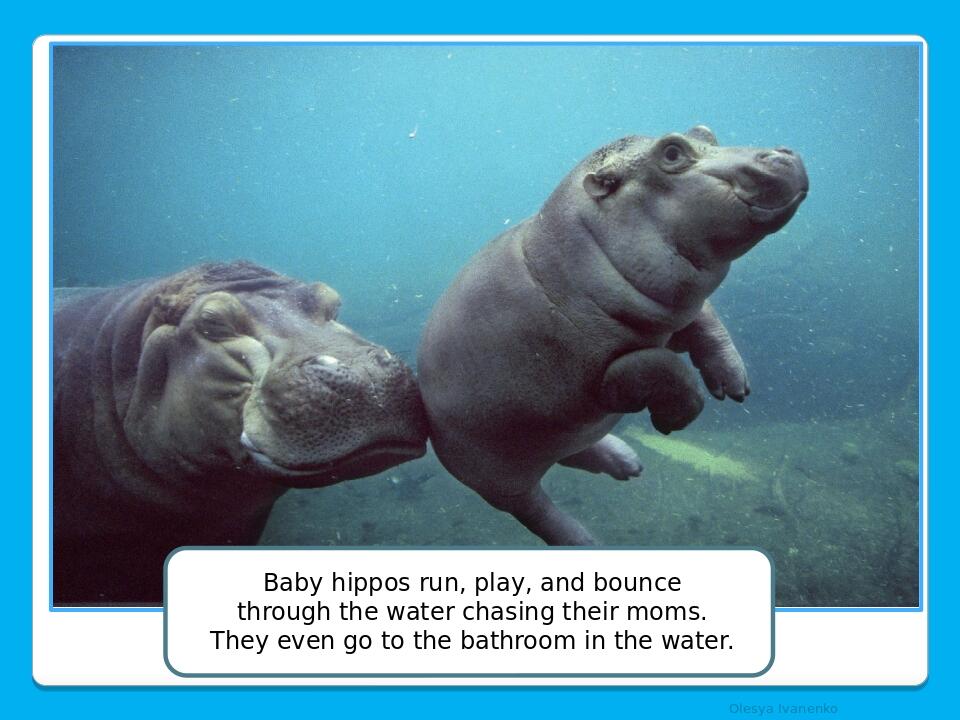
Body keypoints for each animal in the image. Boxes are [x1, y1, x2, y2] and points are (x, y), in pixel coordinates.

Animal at [418, 126, 808, 546]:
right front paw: (675, 420)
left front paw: (735, 385)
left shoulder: (676, 307)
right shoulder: (602, 378)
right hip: (495, 478)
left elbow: (707, 322)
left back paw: (627, 463)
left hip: (553, 436)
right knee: (535, 510)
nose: (783, 153)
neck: (569, 250)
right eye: (672, 152)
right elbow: (662, 367)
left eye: (705, 132)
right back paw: (586, 541)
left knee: (575, 451)